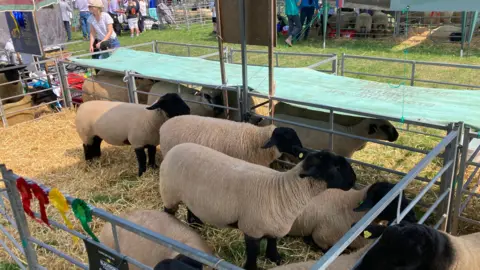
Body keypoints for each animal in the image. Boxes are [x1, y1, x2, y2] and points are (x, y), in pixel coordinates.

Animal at [158, 142, 356, 268]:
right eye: (336, 167)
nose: (354, 180)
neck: (284, 191)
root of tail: (175, 148)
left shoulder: (275, 226)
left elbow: (272, 245)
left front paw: (276, 259)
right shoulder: (252, 229)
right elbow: (253, 254)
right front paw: (252, 267)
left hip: (190, 195)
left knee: (191, 208)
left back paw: (196, 224)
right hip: (169, 192)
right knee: (168, 211)